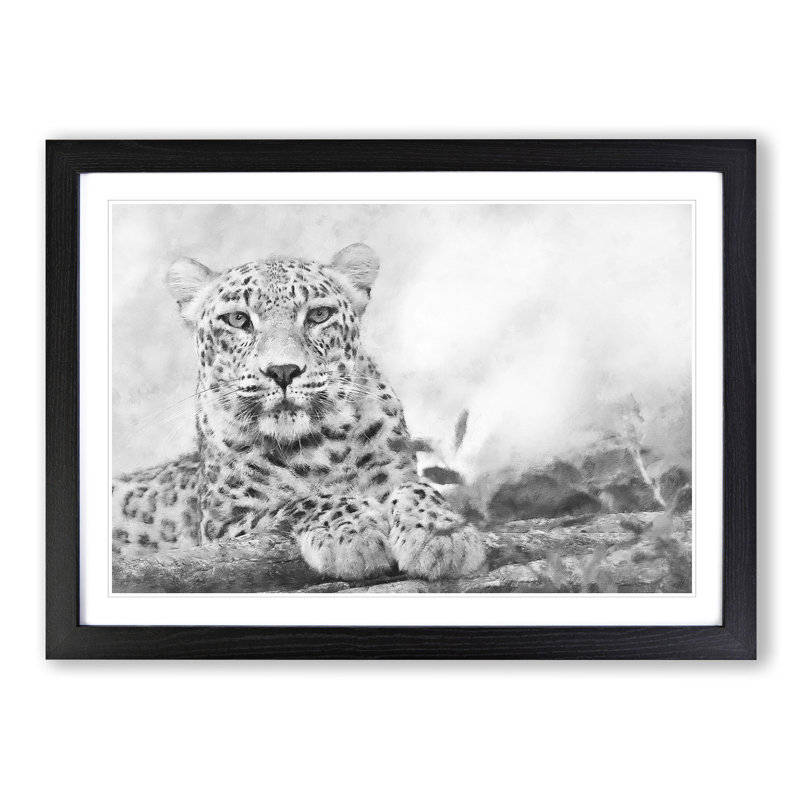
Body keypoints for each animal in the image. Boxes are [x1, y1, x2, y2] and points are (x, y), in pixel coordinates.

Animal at [112, 243, 486, 582]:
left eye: (319, 315)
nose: (283, 371)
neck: (319, 446)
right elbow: (303, 501)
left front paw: (441, 533)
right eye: (238, 319)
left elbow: (417, 488)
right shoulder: (223, 525)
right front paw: (352, 535)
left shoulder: (397, 472)